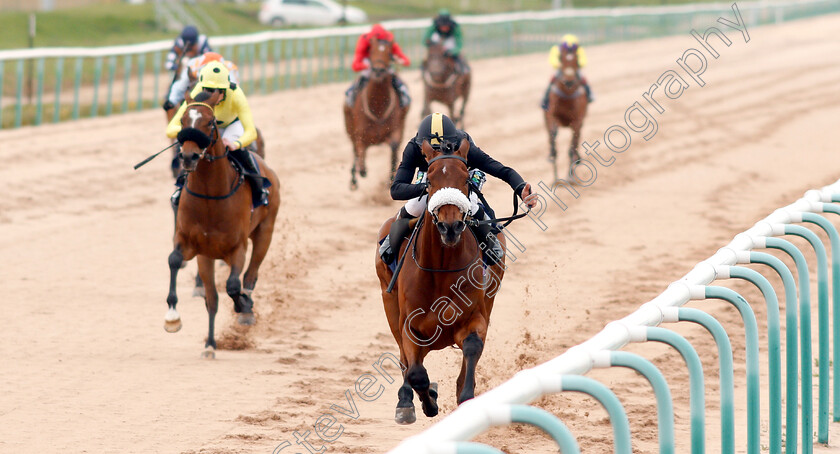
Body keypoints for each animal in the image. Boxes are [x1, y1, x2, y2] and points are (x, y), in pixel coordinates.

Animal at [164, 96, 282, 358]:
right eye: (183, 120)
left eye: (209, 123)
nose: (188, 157)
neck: (210, 196)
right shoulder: (194, 246)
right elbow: (175, 261)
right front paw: (173, 318)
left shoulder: (237, 248)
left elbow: (233, 284)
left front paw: (244, 305)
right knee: (214, 297)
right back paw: (210, 342)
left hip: (265, 232)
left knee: (250, 275)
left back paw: (246, 311)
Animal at [342, 36, 406, 191]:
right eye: (371, 52)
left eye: (389, 53)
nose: (378, 70)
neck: (377, 107)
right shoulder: (359, 133)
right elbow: (360, 151)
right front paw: (362, 170)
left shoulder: (396, 129)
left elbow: (394, 146)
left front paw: (391, 179)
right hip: (349, 127)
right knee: (355, 151)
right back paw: (354, 179)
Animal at [374, 138, 506, 426]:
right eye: (430, 181)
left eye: (466, 179)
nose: (451, 227)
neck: (441, 268)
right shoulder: (409, 324)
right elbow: (415, 372)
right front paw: (426, 401)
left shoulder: (475, 316)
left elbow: (472, 346)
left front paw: (465, 396)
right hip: (388, 302)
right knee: (404, 359)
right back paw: (406, 400)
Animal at [540, 43, 588, 184]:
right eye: (561, 58)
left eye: (576, 59)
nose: (568, 81)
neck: (567, 97)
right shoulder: (551, 116)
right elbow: (553, 138)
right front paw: (556, 177)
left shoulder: (577, 121)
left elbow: (572, 147)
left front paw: (569, 177)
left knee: (575, 144)